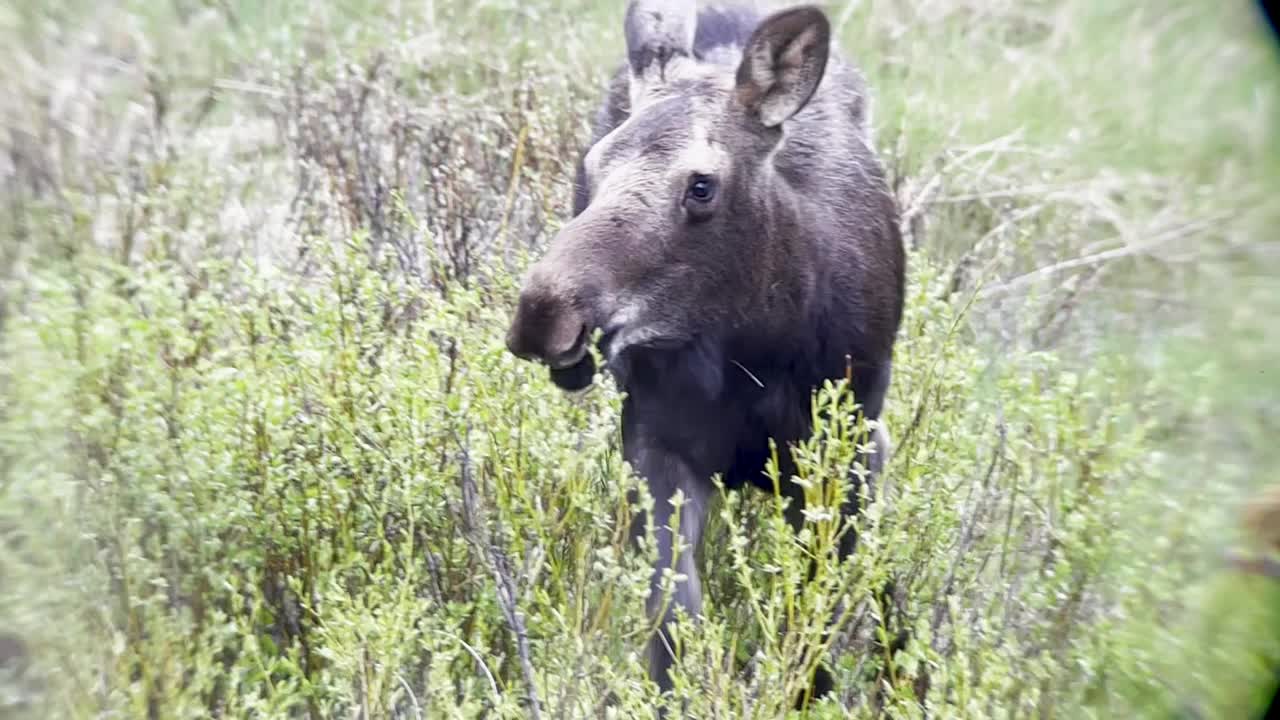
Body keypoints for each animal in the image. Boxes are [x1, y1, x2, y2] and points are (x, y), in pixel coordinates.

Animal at [504, 0, 906, 702]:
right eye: (590, 167)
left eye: (700, 186)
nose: (544, 313)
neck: (758, 347)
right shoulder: (656, 447)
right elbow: (671, 624)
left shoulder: (849, 450)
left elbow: (816, 617)